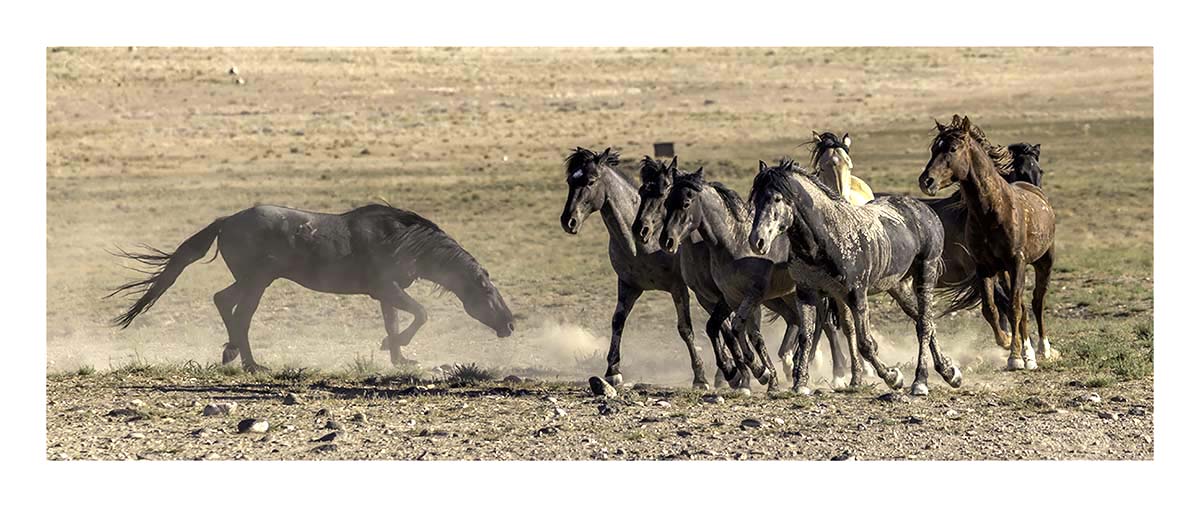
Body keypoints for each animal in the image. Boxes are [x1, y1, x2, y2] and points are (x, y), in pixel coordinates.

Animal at [107, 204, 515, 372]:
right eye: (487, 291)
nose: (510, 324)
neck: (404, 240)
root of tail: (227, 221)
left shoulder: (386, 293)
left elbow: (397, 321)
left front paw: (399, 357)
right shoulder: (387, 288)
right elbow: (421, 314)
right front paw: (392, 348)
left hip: (252, 279)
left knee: (223, 301)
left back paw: (231, 352)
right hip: (258, 281)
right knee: (241, 314)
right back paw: (251, 363)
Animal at [558, 147, 717, 389]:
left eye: (591, 181)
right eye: (570, 181)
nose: (569, 221)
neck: (640, 246)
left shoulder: (678, 288)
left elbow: (685, 329)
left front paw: (700, 378)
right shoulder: (628, 285)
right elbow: (617, 321)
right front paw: (612, 371)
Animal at [632, 158, 849, 388]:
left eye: (685, 203)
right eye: (667, 202)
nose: (665, 240)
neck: (732, 241)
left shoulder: (749, 296)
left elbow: (738, 330)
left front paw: (752, 373)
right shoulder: (724, 298)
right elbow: (726, 329)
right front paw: (750, 374)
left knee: (822, 323)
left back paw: (831, 371)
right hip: (782, 297)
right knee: (800, 322)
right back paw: (794, 364)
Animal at [749, 159, 963, 396]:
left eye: (776, 198)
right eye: (755, 199)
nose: (757, 241)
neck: (825, 239)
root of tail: (924, 209)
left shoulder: (857, 295)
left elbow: (866, 344)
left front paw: (893, 377)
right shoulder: (806, 293)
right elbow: (806, 337)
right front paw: (800, 383)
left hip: (926, 272)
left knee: (924, 324)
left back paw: (920, 381)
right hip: (898, 286)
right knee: (924, 321)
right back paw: (949, 372)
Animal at [919, 115, 1058, 370]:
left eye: (953, 148)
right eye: (934, 149)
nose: (927, 181)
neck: (992, 212)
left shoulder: (1016, 263)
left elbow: (1014, 308)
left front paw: (1016, 356)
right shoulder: (984, 267)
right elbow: (991, 309)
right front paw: (1008, 343)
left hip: (1044, 261)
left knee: (1037, 301)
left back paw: (1043, 349)